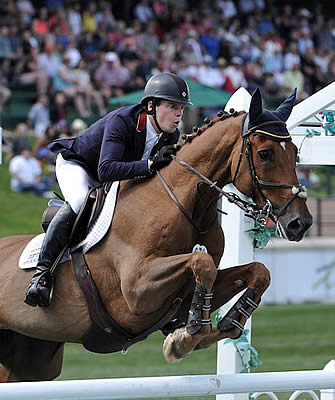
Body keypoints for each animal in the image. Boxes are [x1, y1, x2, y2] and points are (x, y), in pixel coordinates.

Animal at [0, 88, 314, 382]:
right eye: (264, 154)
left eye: (294, 151)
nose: (300, 223)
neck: (184, 205)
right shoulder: (136, 293)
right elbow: (202, 263)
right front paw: (186, 337)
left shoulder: (181, 294)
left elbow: (258, 272)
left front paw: (225, 324)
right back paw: (39, 284)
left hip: (34, 360)